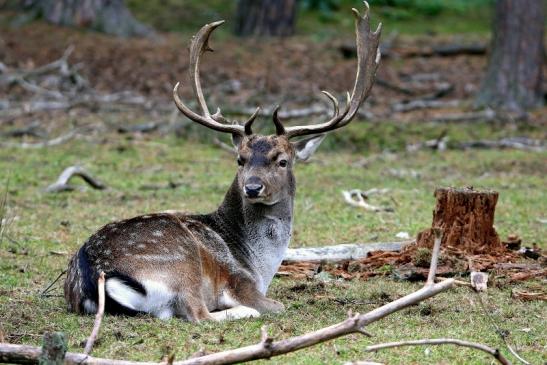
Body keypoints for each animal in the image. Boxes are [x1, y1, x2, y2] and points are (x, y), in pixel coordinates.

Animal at [63, 3, 382, 322]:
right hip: (182, 262)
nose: (252, 188)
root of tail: (94, 275)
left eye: (282, 161)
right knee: (198, 313)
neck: (260, 265)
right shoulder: (241, 281)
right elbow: (275, 304)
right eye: (240, 160)